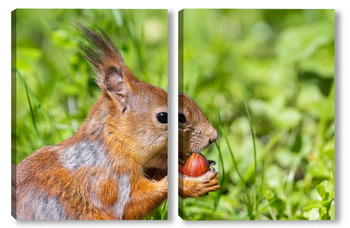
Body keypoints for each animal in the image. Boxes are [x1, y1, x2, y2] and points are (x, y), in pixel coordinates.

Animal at [15, 25, 221, 221]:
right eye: (165, 117)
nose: (213, 137)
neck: (116, 142)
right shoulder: (109, 177)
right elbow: (132, 204)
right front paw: (191, 184)